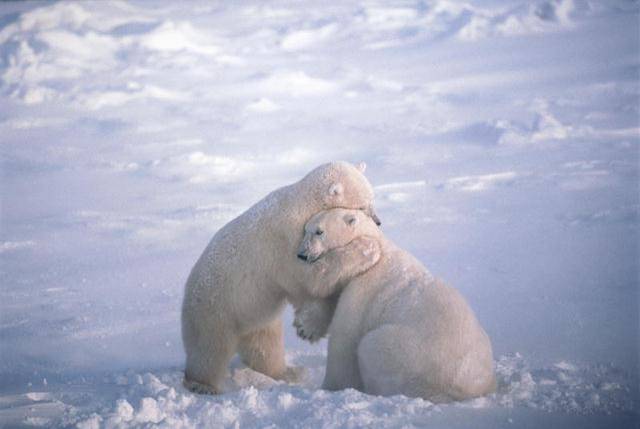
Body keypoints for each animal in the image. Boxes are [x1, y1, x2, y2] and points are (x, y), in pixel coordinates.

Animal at [181, 162, 382, 394]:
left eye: (372, 199)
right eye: (362, 206)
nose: (378, 222)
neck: (303, 203)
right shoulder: (287, 240)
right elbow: (311, 276)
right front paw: (366, 248)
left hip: (255, 314)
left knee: (265, 346)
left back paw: (288, 373)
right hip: (214, 308)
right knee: (209, 349)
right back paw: (202, 385)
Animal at [295, 208, 497, 403]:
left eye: (319, 231)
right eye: (305, 229)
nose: (302, 255)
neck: (378, 248)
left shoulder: (364, 288)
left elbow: (345, 337)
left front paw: (330, 387)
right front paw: (305, 327)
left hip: (409, 353)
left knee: (370, 347)